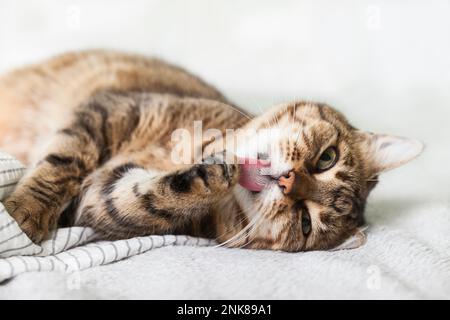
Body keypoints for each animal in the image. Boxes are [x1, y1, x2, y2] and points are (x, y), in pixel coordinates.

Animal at [0, 49, 422, 250]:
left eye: (305, 221)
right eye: (327, 159)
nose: (288, 181)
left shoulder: (100, 200)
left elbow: (142, 201)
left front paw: (212, 176)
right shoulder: (109, 110)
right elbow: (62, 163)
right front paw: (24, 214)